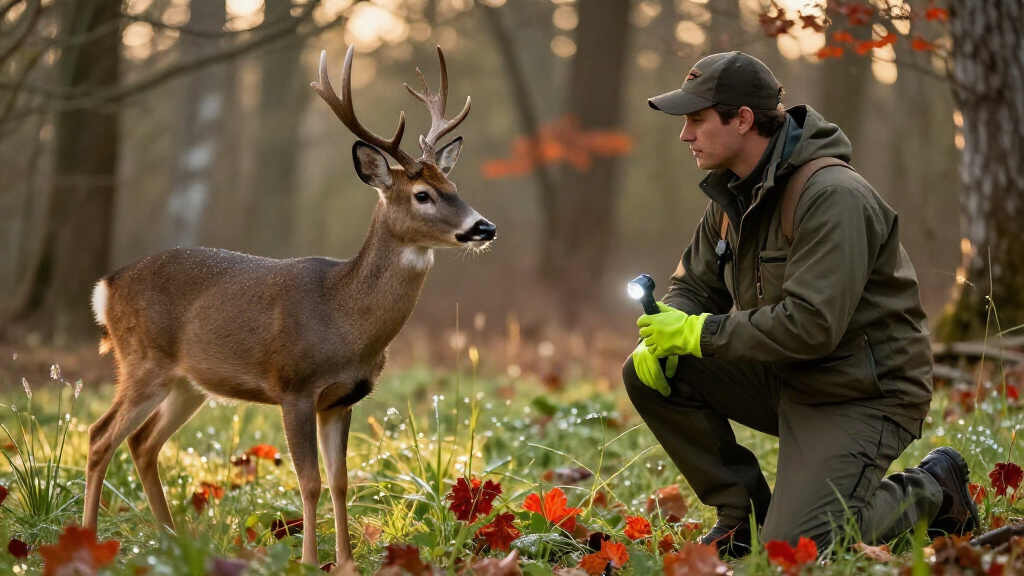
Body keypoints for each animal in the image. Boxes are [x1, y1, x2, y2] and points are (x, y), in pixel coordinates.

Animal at [83, 45, 494, 568]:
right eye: (422, 194)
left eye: (454, 187)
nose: (484, 227)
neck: (343, 322)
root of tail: (107, 286)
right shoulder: (294, 387)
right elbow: (310, 481)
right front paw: (308, 562)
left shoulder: (342, 399)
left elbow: (341, 482)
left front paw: (346, 563)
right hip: (142, 361)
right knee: (100, 436)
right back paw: (89, 540)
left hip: (188, 382)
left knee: (142, 443)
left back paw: (170, 542)